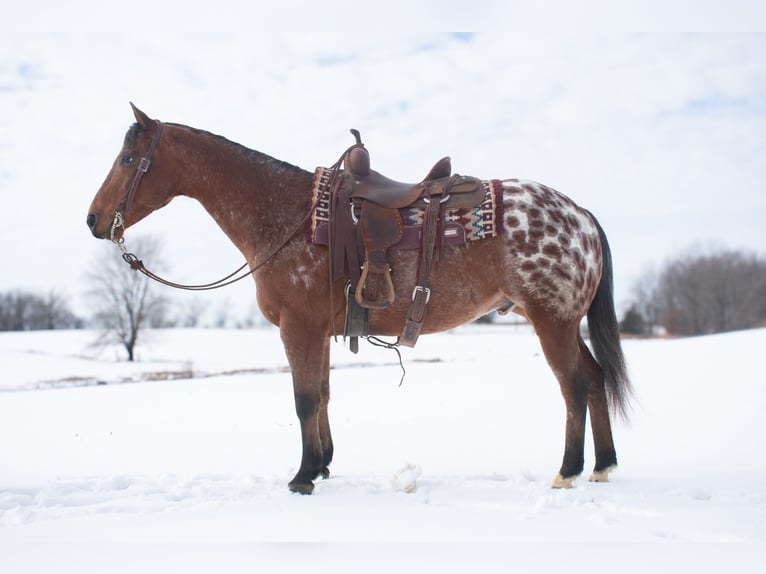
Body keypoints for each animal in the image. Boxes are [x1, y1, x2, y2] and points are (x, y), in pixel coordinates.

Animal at [87, 104, 632, 496]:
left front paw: (302, 476)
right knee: (595, 378)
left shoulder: (299, 327)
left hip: (552, 321)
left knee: (574, 385)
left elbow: (305, 398)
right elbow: (324, 394)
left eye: (129, 160)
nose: (92, 219)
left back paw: (568, 471)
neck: (286, 216)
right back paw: (603, 466)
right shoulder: (319, 331)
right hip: (566, 323)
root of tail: (580, 214)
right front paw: (324, 464)